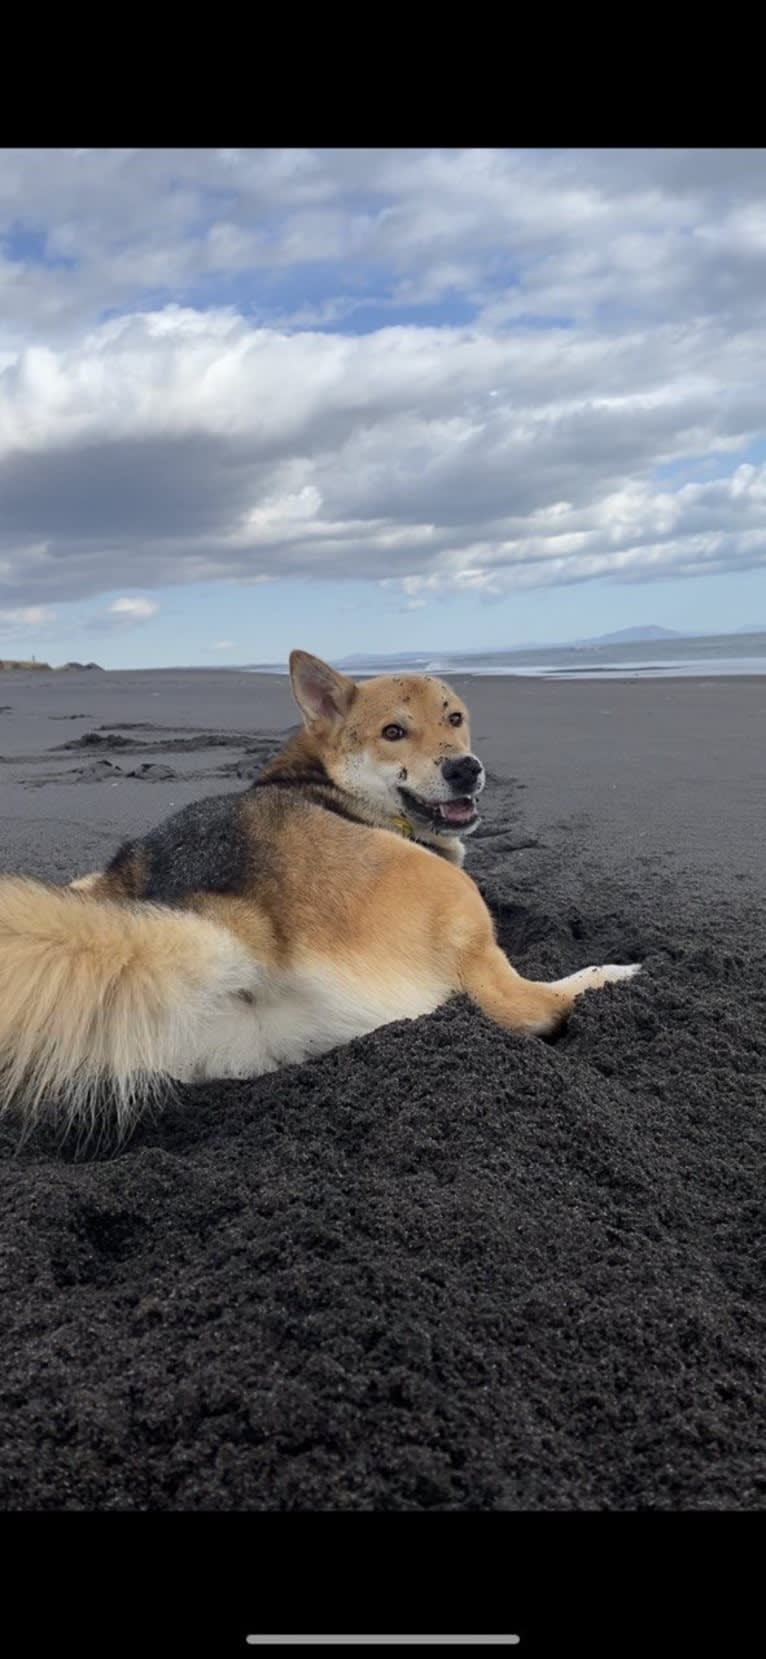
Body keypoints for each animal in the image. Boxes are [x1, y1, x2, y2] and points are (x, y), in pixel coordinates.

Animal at [0, 650, 636, 1141]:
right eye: (393, 732)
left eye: (455, 718)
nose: (466, 768)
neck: (326, 779)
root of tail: (230, 920)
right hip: (458, 903)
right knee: (527, 1006)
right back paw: (616, 975)